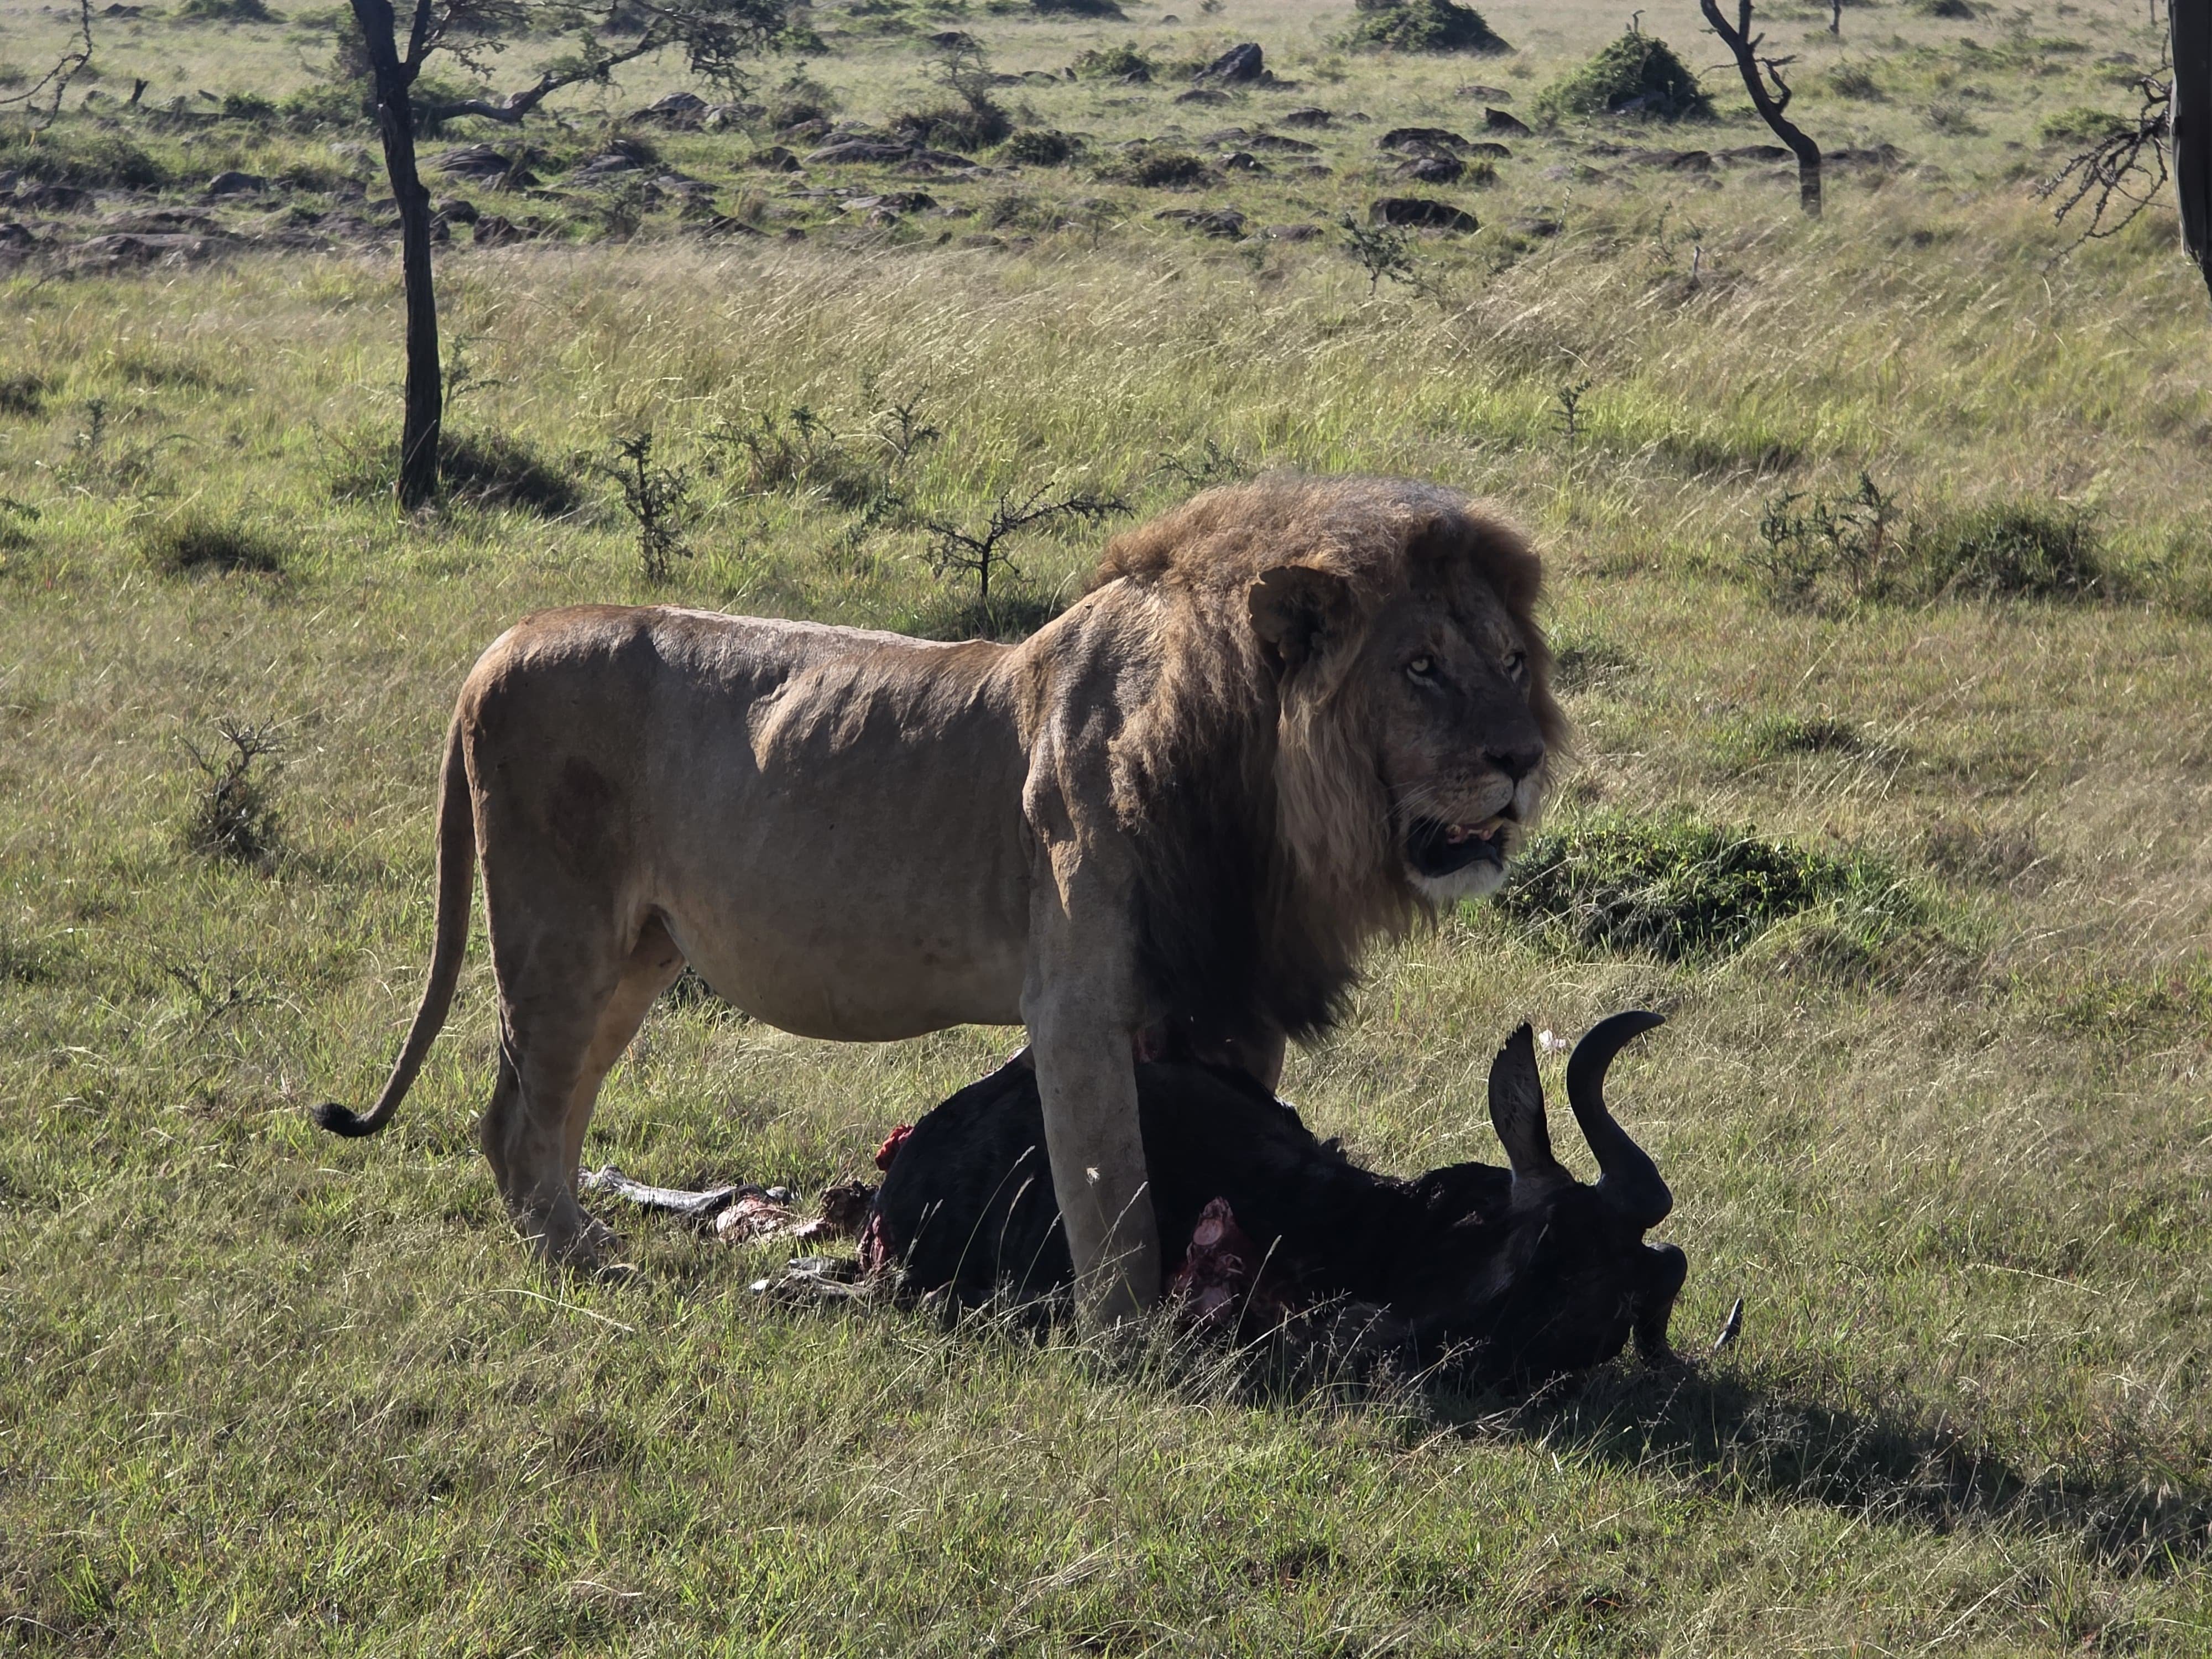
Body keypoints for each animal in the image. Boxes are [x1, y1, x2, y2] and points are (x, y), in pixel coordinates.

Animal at [314, 474, 1565, 1320]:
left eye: (1510, 663)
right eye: (1420, 669)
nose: (1521, 758)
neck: (1265, 800)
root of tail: (508, 638)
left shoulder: (1225, 1009)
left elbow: (1209, 1152)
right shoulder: (1075, 1005)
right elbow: (1113, 1193)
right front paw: (1136, 1347)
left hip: (637, 952)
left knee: (558, 1103)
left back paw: (582, 1239)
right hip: (555, 931)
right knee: (515, 1112)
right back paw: (570, 1259)